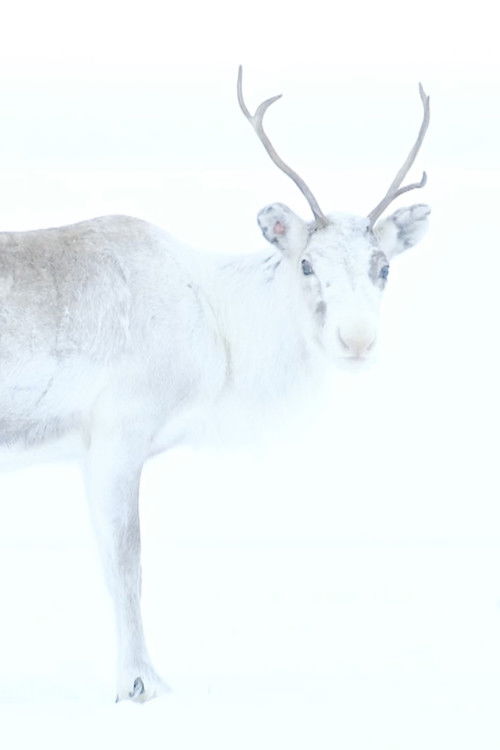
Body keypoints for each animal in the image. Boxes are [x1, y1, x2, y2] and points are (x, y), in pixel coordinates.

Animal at [0, 67, 430, 702]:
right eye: (307, 263)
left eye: (385, 267)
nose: (356, 340)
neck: (216, 320)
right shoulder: (117, 434)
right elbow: (125, 562)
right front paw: (140, 682)